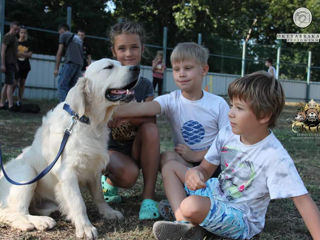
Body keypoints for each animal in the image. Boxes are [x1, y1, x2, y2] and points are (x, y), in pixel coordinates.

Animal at [0, 58, 140, 240]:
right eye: (108, 67)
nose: (137, 67)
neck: (86, 121)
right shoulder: (67, 172)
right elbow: (78, 203)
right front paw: (86, 228)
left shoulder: (94, 168)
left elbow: (99, 195)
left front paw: (108, 212)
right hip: (27, 174)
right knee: (11, 212)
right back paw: (37, 222)